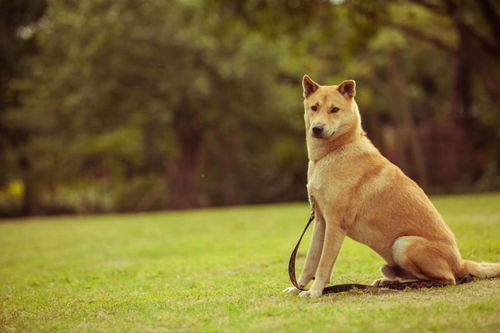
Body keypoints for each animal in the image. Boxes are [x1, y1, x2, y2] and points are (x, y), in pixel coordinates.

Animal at [284, 76, 500, 298]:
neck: (333, 152)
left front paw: (315, 292)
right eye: (314, 108)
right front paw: (298, 287)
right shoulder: (321, 222)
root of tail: (461, 263)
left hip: (404, 244)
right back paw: (388, 282)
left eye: (334, 109)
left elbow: (324, 264)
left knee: (447, 279)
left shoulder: (336, 224)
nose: (317, 128)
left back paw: (410, 285)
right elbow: (310, 261)